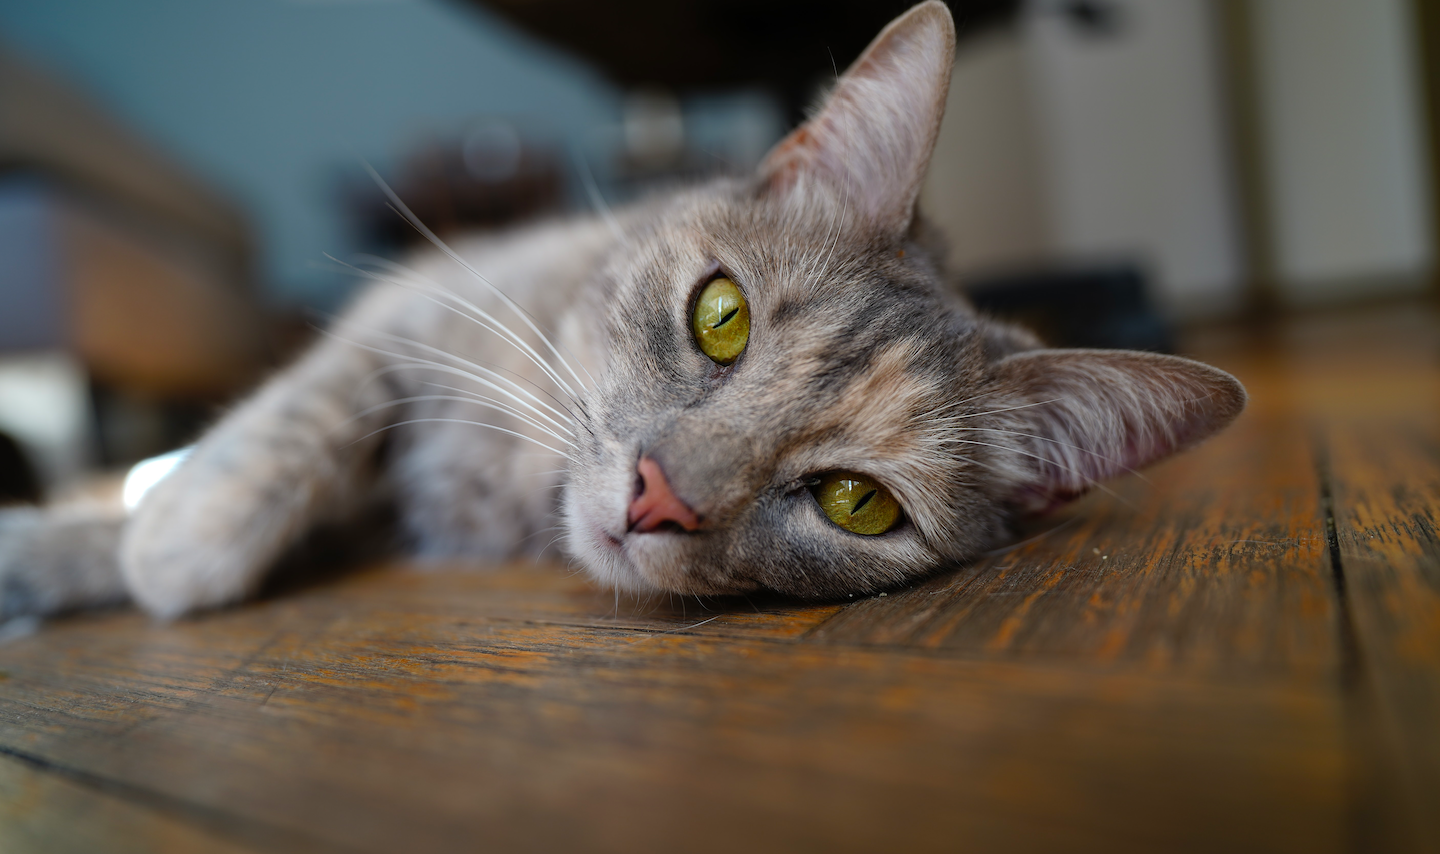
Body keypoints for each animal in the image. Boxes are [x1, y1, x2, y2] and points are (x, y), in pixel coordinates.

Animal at [0, 3, 1244, 622]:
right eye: (722, 316)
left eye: (858, 502)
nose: (656, 497)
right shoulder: (411, 307)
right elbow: (287, 430)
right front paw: (157, 541)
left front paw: (106, 553)